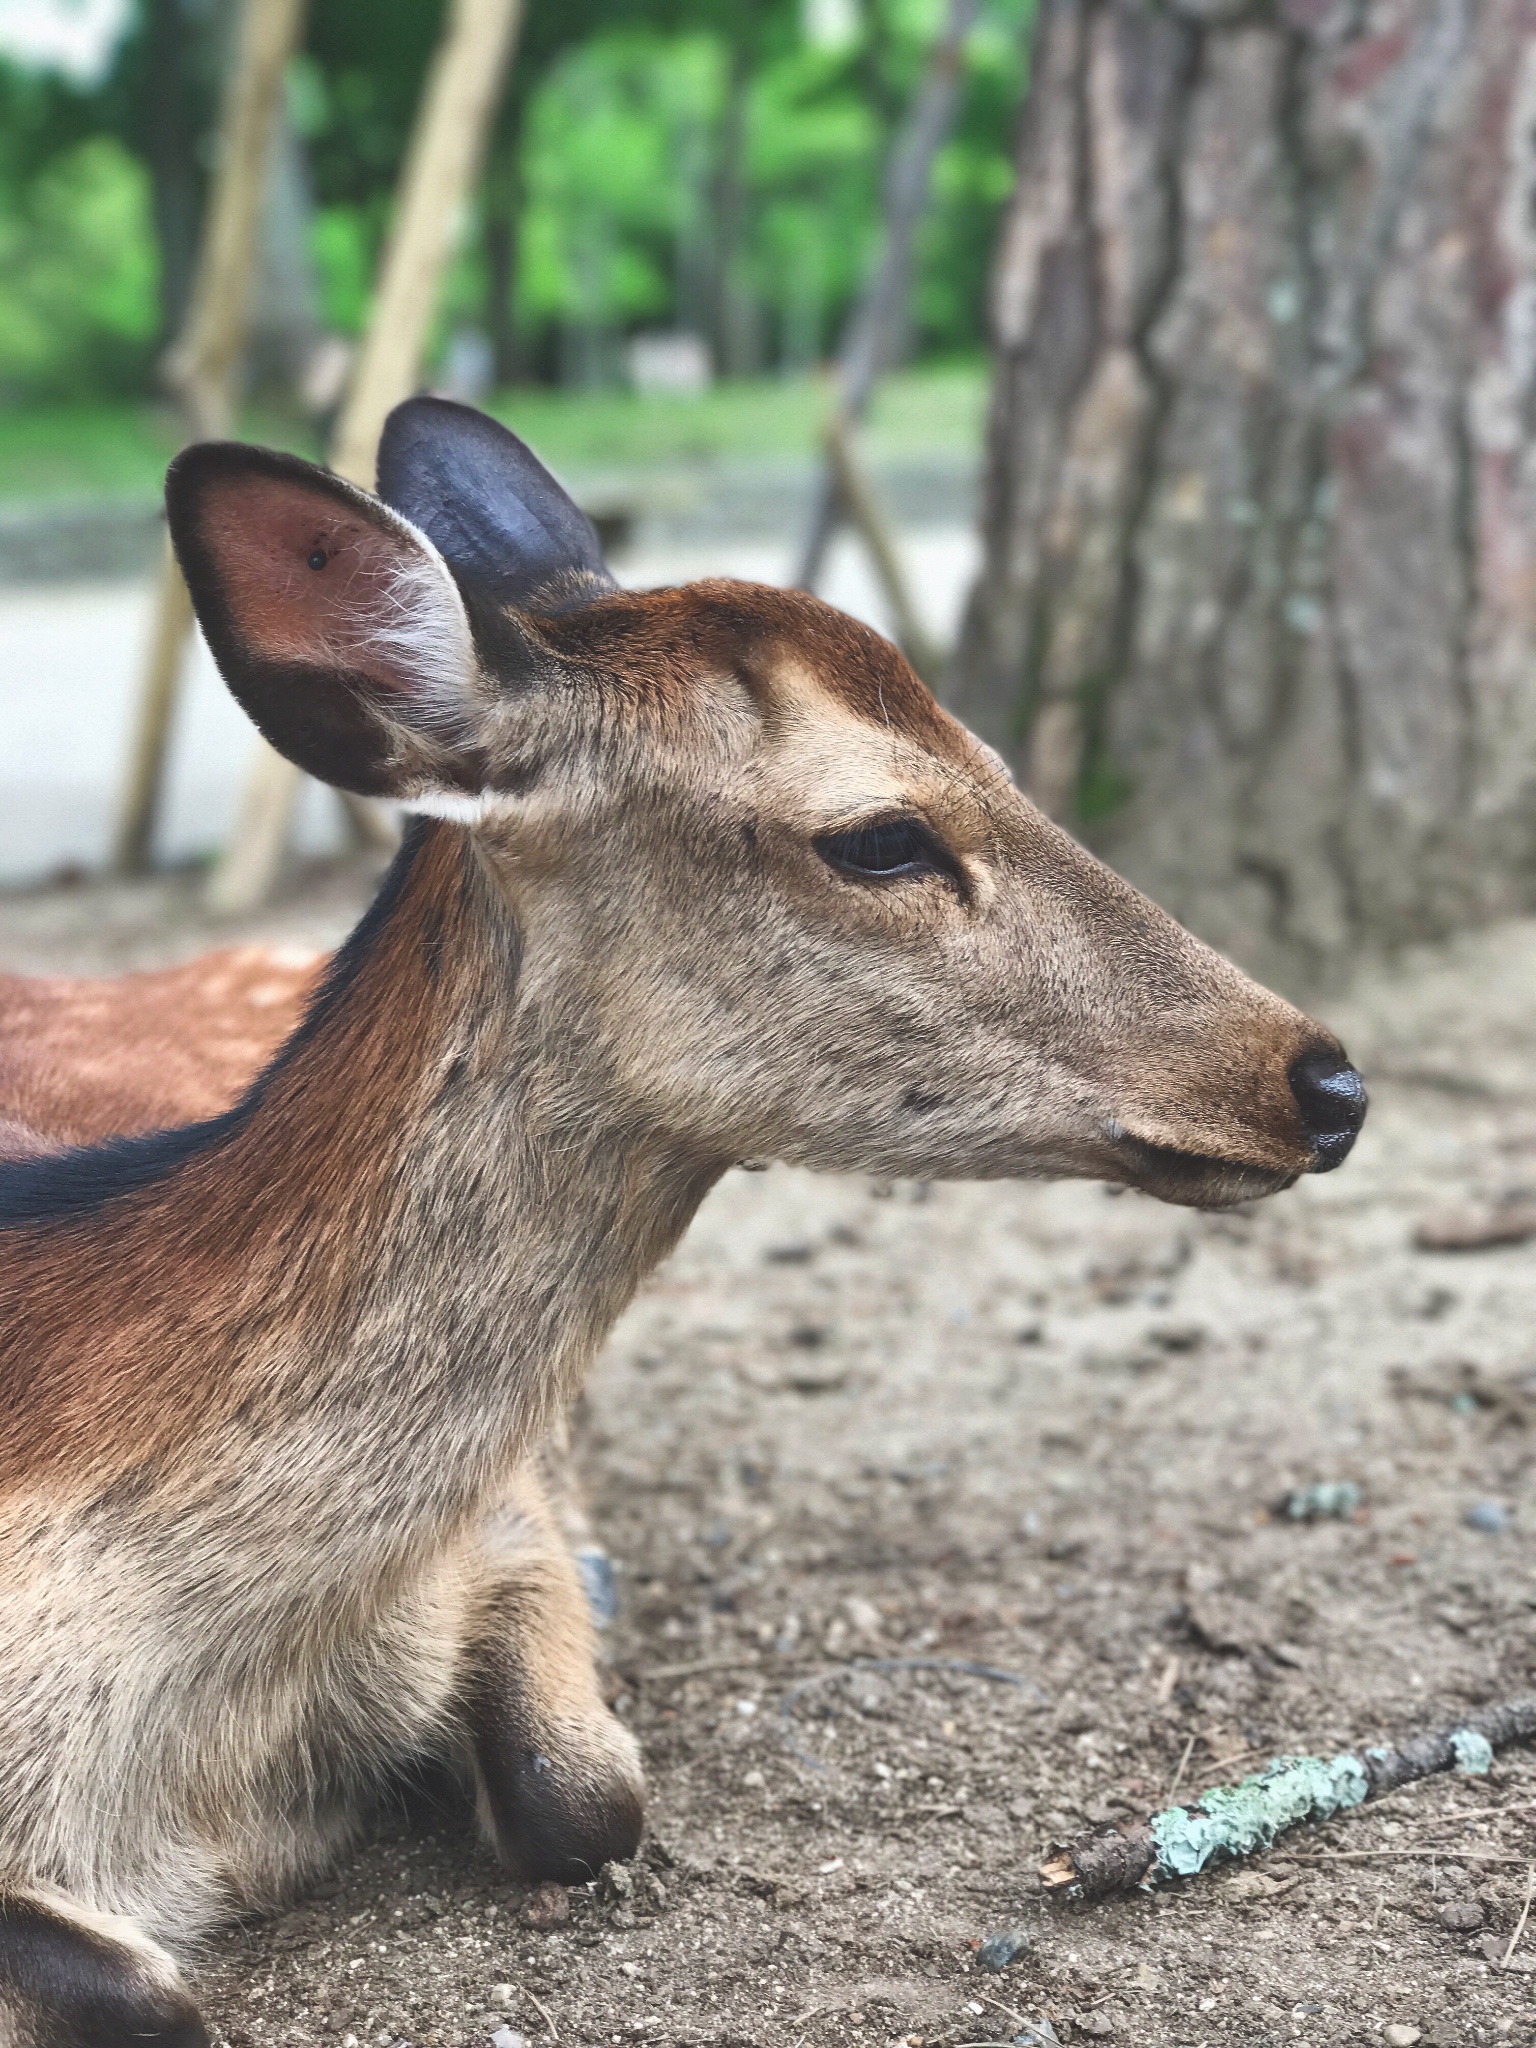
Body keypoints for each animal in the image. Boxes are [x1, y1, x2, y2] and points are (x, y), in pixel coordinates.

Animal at [0, 399, 1368, 2048]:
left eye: (997, 751)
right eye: (882, 837)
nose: (1326, 1079)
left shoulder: (504, 1519)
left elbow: (590, 1790)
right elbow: (140, 1989)